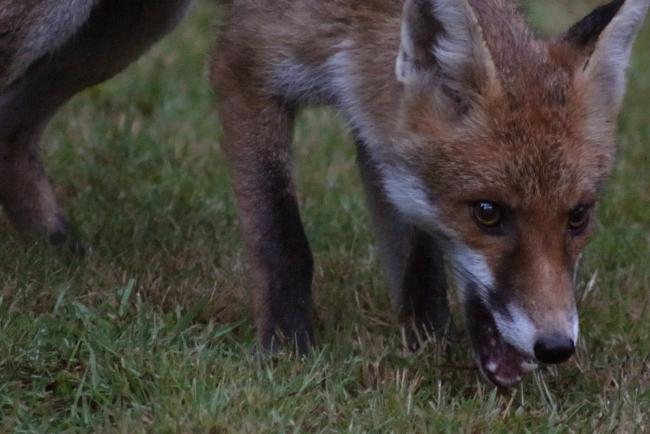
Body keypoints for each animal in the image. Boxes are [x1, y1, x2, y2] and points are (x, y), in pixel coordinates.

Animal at [0, 0, 647, 388]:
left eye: (578, 216)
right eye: (488, 213)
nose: (557, 346)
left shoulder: (373, 116)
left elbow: (417, 259)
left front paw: (426, 340)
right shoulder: (246, 60)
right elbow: (282, 239)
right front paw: (286, 355)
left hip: (126, 25)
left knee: (15, 127)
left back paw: (56, 250)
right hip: (49, 22)